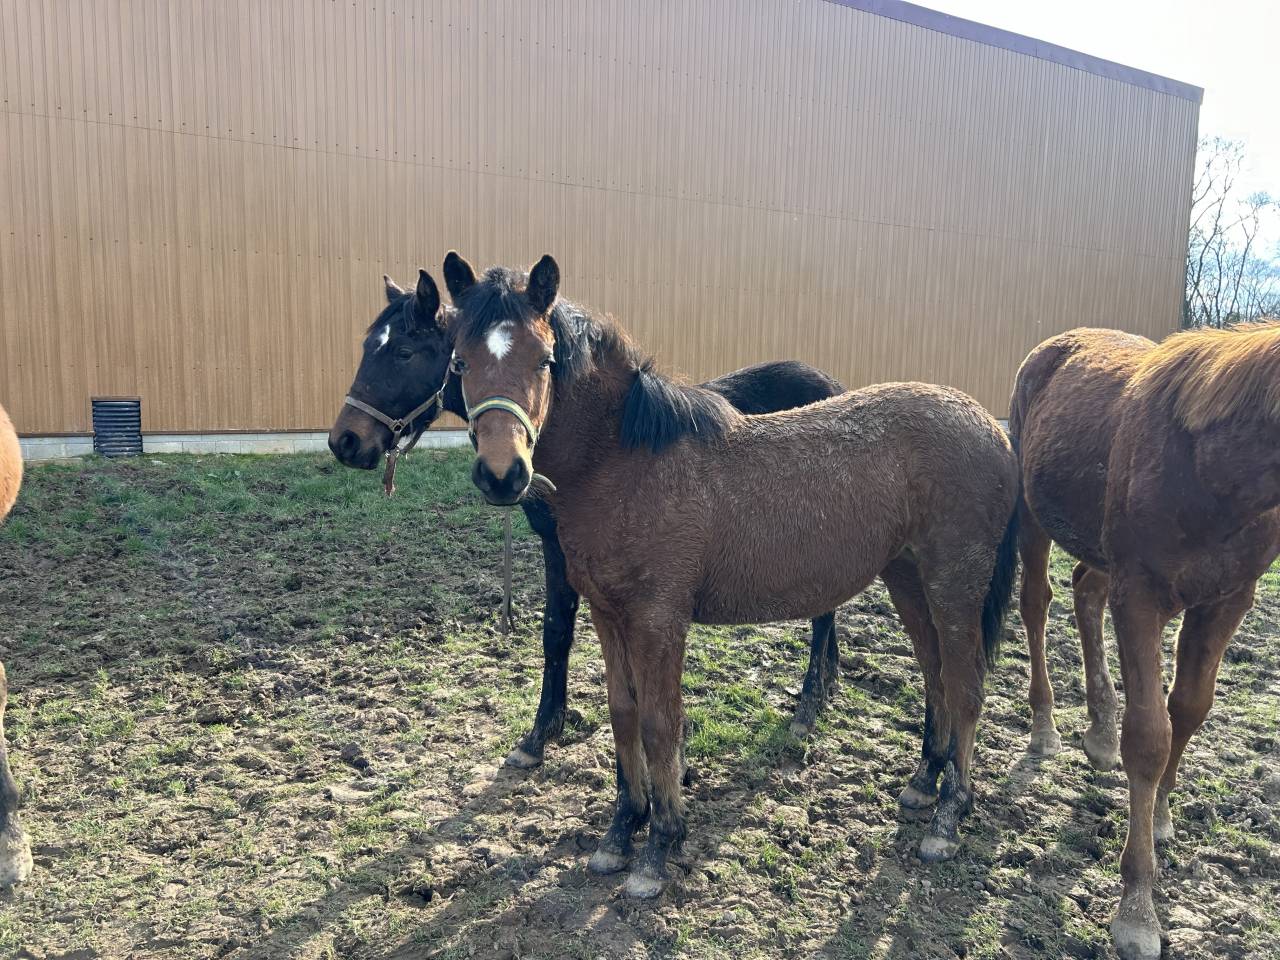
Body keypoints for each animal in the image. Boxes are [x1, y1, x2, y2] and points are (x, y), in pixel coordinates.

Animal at [328, 271, 846, 769]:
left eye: (404, 351)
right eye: (368, 347)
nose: (345, 441)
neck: (595, 443)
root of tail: (835, 386)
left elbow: (558, 630)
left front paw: (540, 734)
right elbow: (559, 631)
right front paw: (547, 732)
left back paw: (807, 708)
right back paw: (829, 682)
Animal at [442, 252, 1020, 898]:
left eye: (544, 359)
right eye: (460, 360)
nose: (503, 474)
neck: (626, 464)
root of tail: (991, 428)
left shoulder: (658, 619)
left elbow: (661, 724)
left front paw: (658, 849)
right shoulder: (608, 613)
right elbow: (623, 714)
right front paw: (621, 833)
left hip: (954, 585)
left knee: (966, 688)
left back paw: (948, 817)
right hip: (908, 579)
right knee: (936, 677)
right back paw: (923, 782)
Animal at [1010, 324, 1280, 960]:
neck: (1214, 474)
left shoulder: (1226, 601)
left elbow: (1190, 708)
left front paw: (1159, 813)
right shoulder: (1140, 597)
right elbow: (1151, 737)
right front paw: (1137, 907)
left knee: (1086, 591)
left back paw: (1100, 730)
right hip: (1034, 516)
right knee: (1037, 604)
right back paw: (1047, 725)